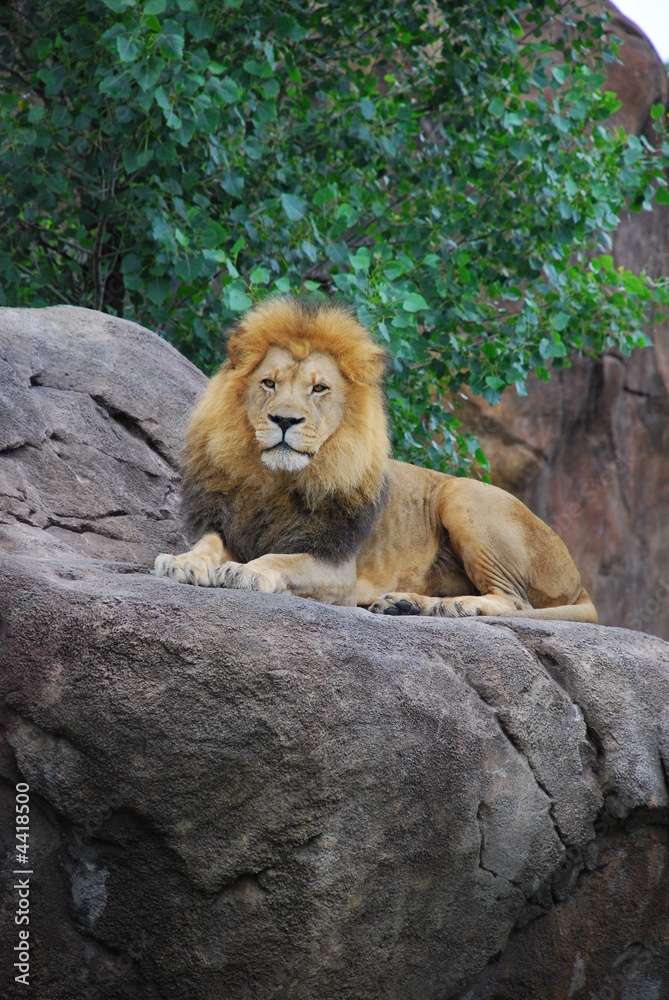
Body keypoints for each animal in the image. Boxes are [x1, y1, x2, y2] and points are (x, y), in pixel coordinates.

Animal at [155, 297, 597, 623]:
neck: (277, 481)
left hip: (460, 493)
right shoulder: (232, 526)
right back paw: (406, 603)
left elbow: (285, 559)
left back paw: (455, 606)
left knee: (516, 601)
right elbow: (208, 543)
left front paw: (248, 570)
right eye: (269, 383)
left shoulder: (337, 567)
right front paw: (182, 562)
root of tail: (580, 581)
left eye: (319, 388)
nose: (284, 420)